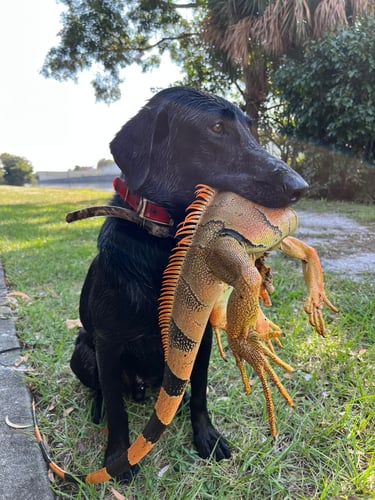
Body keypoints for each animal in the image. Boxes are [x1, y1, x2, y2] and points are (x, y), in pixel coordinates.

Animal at [71, 87, 308, 480]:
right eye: (216, 127)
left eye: (250, 129)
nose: (300, 188)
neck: (167, 244)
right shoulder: (107, 343)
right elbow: (119, 413)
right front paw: (118, 457)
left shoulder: (203, 336)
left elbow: (199, 393)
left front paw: (206, 435)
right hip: (82, 351)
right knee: (105, 391)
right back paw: (99, 408)